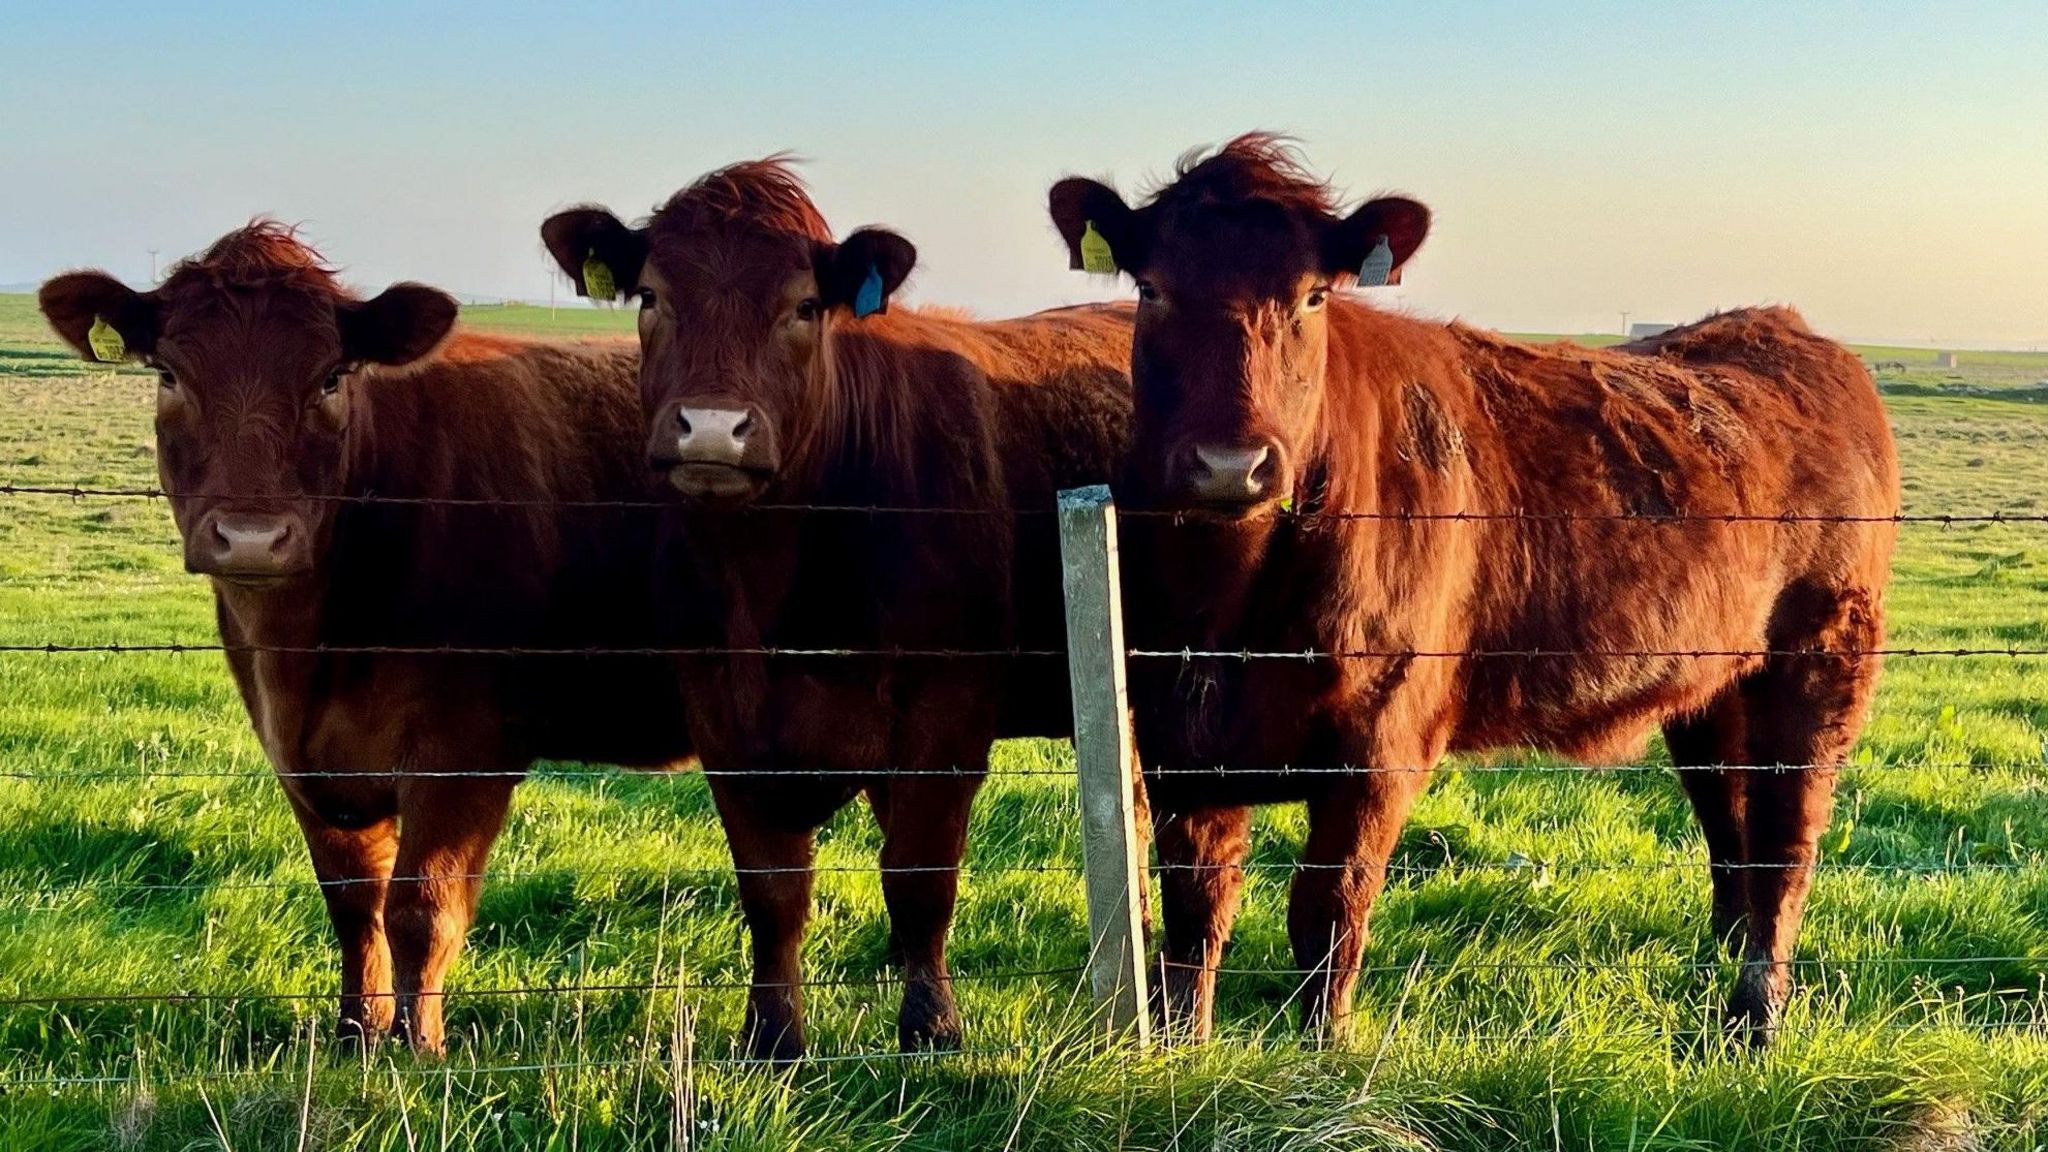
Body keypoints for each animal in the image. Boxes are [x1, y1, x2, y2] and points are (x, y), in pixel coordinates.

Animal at [39, 224, 692, 1049]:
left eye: (330, 378)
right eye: (167, 375)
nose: (251, 537)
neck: (306, 654)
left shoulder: (466, 749)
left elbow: (421, 908)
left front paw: (419, 1049)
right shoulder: (301, 758)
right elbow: (354, 903)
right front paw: (357, 1032)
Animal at [536, 161, 1130, 1057]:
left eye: (805, 305)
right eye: (649, 295)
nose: (711, 429)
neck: (772, 597)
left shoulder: (947, 712)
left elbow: (918, 872)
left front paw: (931, 1025)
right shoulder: (720, 715)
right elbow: (772, 888)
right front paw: (773, 1035)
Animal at [1056, 136, 1900, 1049]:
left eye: (1313, 295)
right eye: (1151, 288)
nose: (1228, 463)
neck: (1228, 608)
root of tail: (1793, 333)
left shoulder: (1381, 738)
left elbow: (1327, 911)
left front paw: (1323, 1050)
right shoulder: (1175, 736)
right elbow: (1196, 911)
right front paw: (1186, 1049)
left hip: (1824, 653)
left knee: (1788, 835)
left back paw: (1754, 1015)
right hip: (1715, 681)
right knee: (1729, 817)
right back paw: (1720, 965)